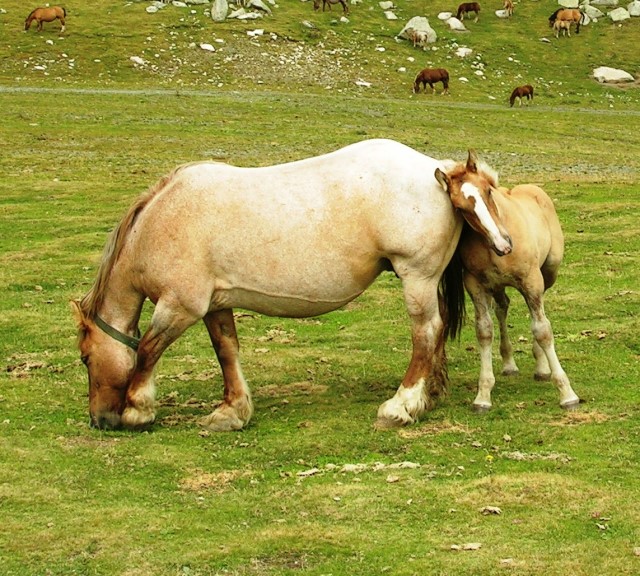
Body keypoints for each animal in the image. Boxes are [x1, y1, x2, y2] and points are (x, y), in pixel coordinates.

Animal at [72, 140, 512, 432]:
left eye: (85, 357)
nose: (100, 419)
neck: (163, 220)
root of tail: (437, 170)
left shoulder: (180, 306)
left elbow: (147, 351)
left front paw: (137, 409)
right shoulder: (216, 304)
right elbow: (226, 351)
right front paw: (233, 411)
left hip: (416, 277)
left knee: (426, 333)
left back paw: (400, 405)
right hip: (426, 279)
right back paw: (427, 398)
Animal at [435, 165, 580, 413]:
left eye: (488, 192)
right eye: (459, 208)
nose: (503, 244)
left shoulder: (532, 281)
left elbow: (542, 329)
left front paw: (567, 394)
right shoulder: (475, 285)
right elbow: (484, 331)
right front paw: (483, 396)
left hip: (548, 273)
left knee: (537, 312)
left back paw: (542, 368)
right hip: (497, 286)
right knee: (502, 307)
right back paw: (509, 364)